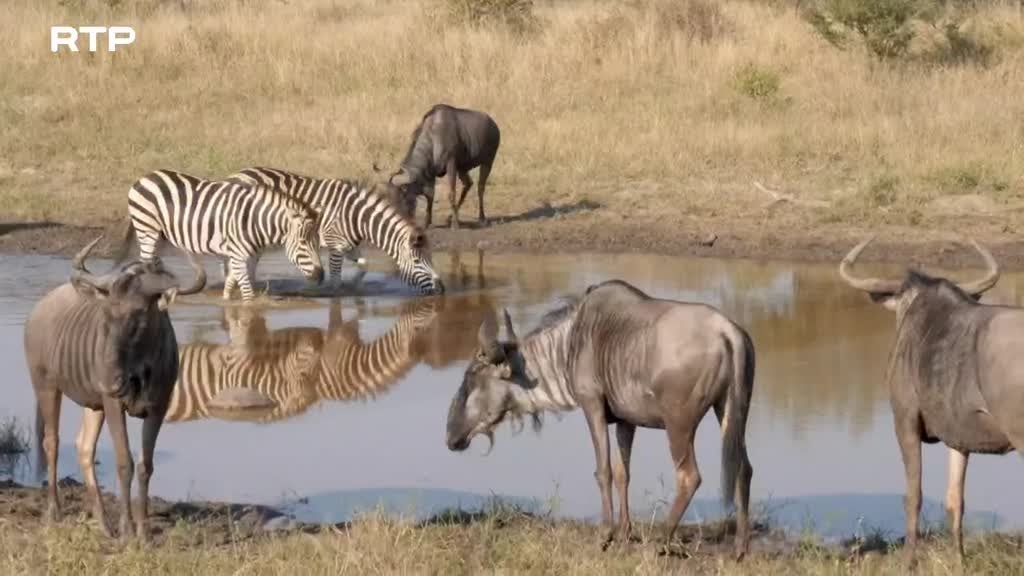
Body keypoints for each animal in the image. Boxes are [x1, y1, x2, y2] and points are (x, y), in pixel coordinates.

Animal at [123, 169, 324, 302]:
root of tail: (145, 177)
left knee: (155, 261)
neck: (254, 221)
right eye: (303, 243)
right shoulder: (238, 254)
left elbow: (231, 282)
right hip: (147, 228)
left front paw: (226, 302)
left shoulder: (245, 255)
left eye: (317, 243)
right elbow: (248, 295)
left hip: (160, 234)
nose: (321, 276)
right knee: (147, 261)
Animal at [225, 166, 444, 295]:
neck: (357, 217)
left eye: (431, 258)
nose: (442, 289)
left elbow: (364, 266)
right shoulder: (335, 246)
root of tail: (238, 174)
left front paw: (353, 286)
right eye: (417, 261)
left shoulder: (350, 246)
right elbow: (336, 280)